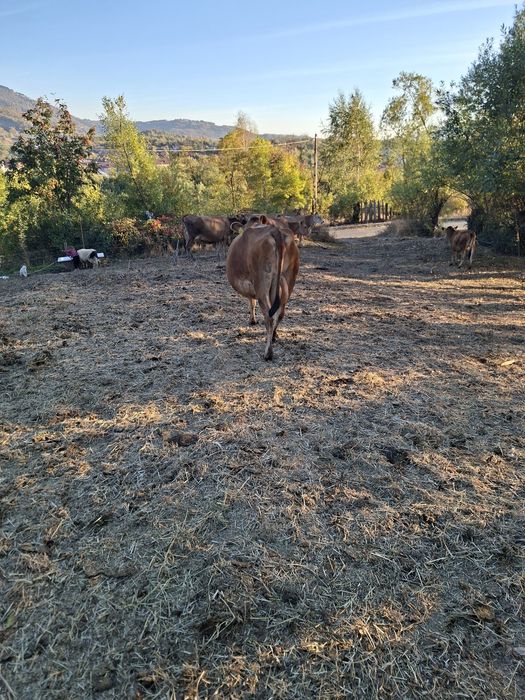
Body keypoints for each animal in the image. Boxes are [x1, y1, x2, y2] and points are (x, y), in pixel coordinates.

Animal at [226, 215, 299, 360]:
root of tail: (276, 231)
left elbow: (251, 301)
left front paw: (252, 320)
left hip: (262, 282)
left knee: (269, 315)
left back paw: (268, 353)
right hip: (288, 279)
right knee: (280, 312)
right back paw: (274, 336)